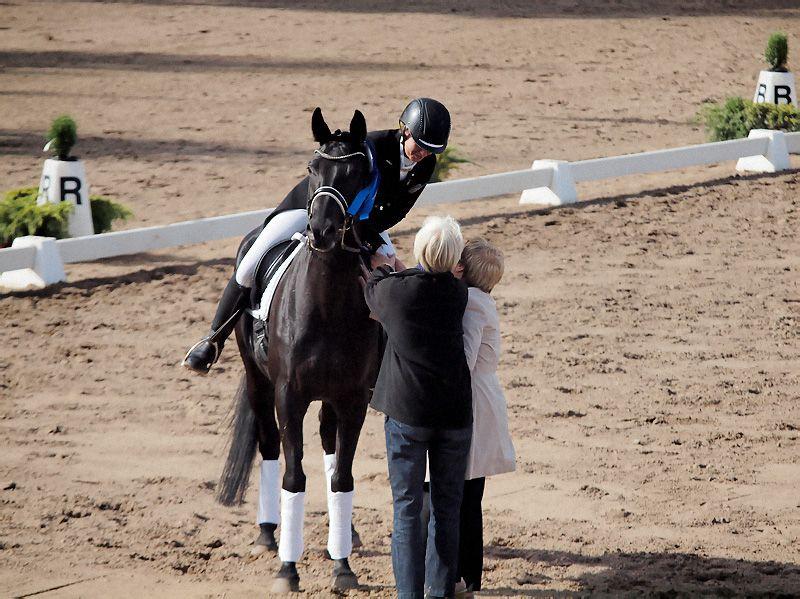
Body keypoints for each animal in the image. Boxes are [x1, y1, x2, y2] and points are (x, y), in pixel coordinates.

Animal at [215, 107, 381, 593]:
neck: (327, 303)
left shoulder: (353, 399)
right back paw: (268, 535)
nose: (322, 232)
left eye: (358, 174)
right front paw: (288, 570)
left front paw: (342, 565)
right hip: (258, 380)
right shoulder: (289, 395)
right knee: (270, 446)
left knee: (328, 445)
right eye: (312, 168)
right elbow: (293, 474)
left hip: (330, 398)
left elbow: (342, 475)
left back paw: (344, 535)